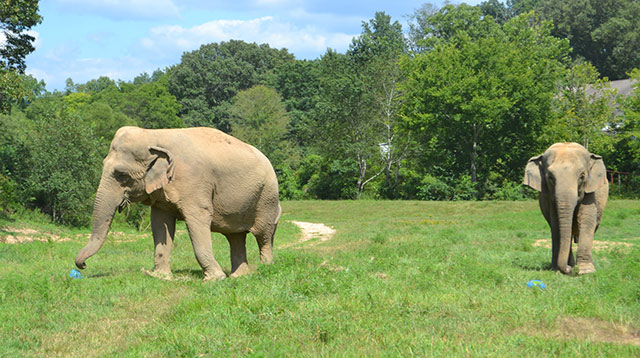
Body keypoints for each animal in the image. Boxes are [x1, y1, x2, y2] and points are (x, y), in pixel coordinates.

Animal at [75, 127, 280, 282]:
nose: (82, 265)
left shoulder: (194, 181)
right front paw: (159, 276)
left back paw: (265, 268)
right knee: (235, 236)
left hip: (267, 196)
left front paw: (214, 279)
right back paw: (239, 277)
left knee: (263, 234)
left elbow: (198, 219)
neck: (155, 135)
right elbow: (160, 224)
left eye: (121, 174)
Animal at [524, 142, 608, 274]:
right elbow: (556, 224)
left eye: (582, 176)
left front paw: (586, 270)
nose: (569, 269)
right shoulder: (549, 198)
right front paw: (557, 270)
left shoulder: (591, 191)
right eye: (550, 177)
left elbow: (586, 220)